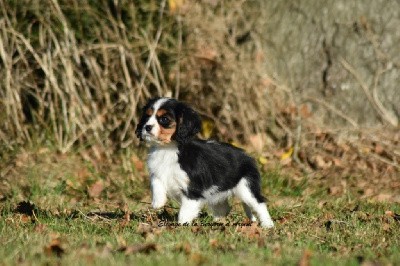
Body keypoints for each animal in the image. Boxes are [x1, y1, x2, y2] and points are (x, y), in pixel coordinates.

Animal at [136, 96, 274, 228]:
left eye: (164, 119)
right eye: (147, 116)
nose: (147, 127)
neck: (167, 148)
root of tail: (247, 156)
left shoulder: (192, 191)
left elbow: (185, 212)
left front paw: (181, 227)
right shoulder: (157, 170)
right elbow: (156, 183)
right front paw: (157, 202)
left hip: (246, 187)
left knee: (259, 204)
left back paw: (268, 225)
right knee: (224, 208)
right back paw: (217, 221)